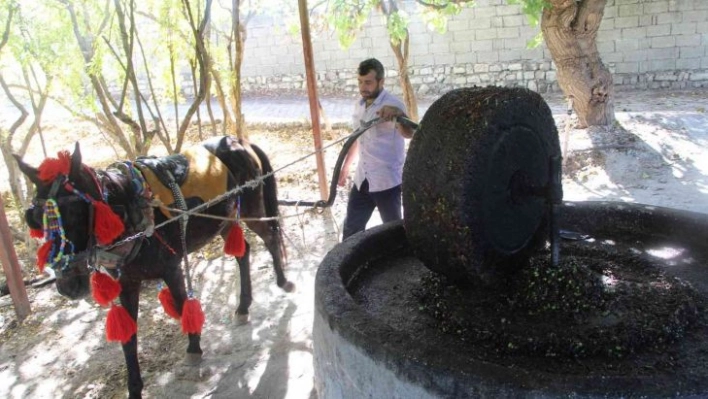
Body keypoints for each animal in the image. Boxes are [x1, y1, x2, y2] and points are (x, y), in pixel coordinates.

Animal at [15, 136, 294, 398]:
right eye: (35, 218)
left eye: (75, 211)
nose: (67, 285)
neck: (130, 209)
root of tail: (238, 140)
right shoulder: (127, 282)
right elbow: (128, 335)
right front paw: (134, 387)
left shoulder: (172, 268)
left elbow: (182, 306)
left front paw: (194, 348)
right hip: (223, 219)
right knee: (243, 251)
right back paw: (243, 306)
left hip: (251, 207)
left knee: (270, 237)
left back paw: (282, 281)